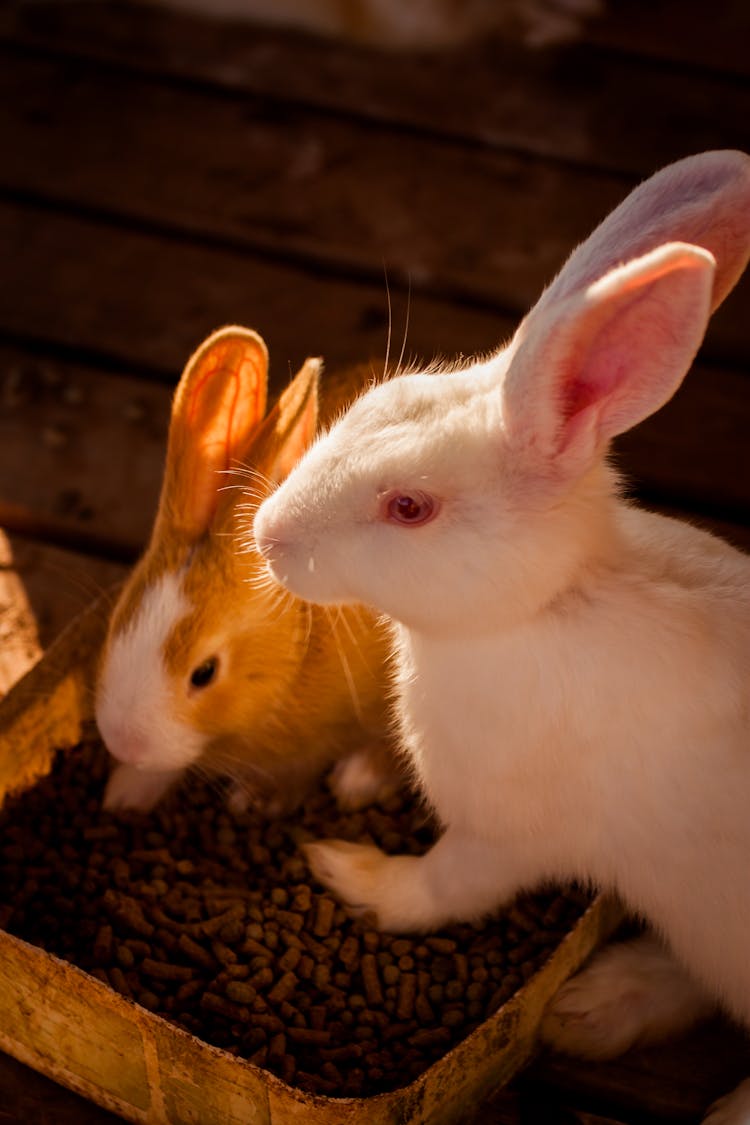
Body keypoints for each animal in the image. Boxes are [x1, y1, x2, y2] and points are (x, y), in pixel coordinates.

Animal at [255, 151, 750, 1125]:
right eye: (375, 400)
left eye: (410, 508)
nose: (266, 534)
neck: (544, 605)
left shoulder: (504, 835)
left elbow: (441, 889)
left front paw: (348, 872)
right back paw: (592, 1007)